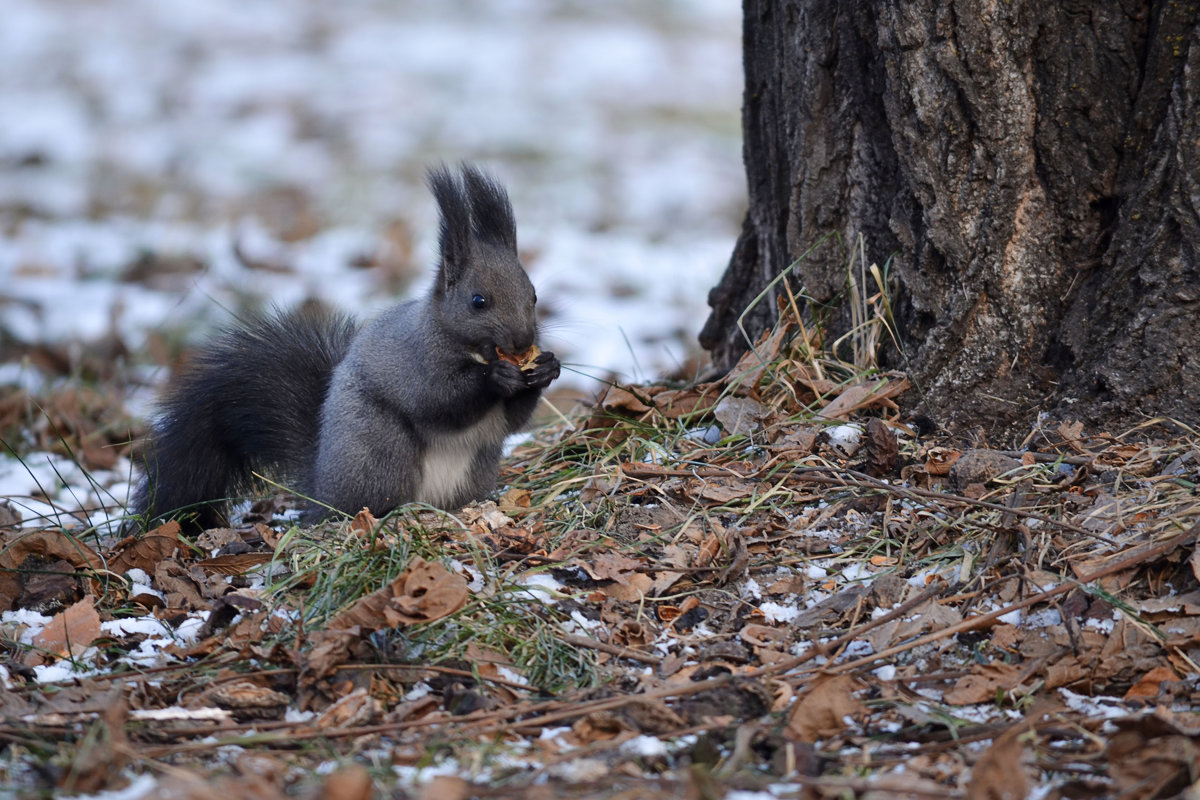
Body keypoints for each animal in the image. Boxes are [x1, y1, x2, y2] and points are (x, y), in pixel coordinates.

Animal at [131, 164, 561, 532]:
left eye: (534, 295)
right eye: (478, 301)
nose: (523, 341)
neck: (474, 350)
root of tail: (322, 488)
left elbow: (514, 421)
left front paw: (547, 369)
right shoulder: (416, 361)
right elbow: (439, 400)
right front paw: (496, 377)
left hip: (475, 468)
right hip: (380, 455)